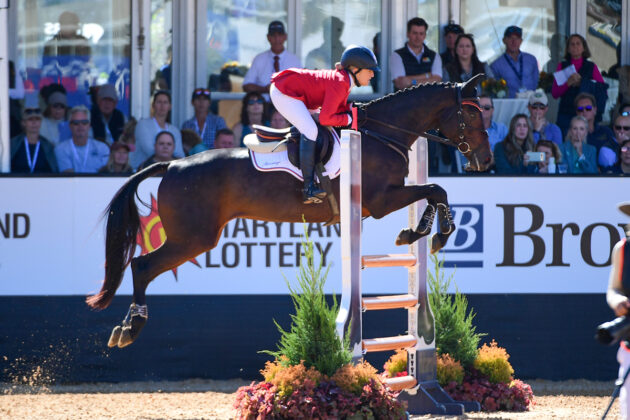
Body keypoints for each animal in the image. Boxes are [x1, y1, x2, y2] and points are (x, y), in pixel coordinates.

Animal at [87, 73, 494, 348]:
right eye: (474, 117)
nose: (486, 161)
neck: (383, 132)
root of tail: (171, 164)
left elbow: (434, 192)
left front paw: (420, 231)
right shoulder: (381, 200)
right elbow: (436, 189)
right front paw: (431, 233)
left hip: (195, 237)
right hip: (193, 238)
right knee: (142, 266)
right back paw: (130, 328)